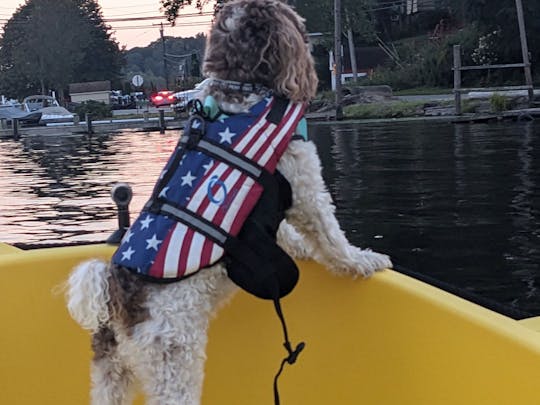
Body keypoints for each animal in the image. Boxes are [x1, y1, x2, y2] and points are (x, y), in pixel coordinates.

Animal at [66, 0, 392, 404]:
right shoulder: (304, 185)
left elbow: (286, 234)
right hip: (173, 361)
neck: (241, 88)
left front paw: (301, 248)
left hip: (110, 375)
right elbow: (332, 238)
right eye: (295, 20)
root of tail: (114, 297)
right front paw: (363, 260)